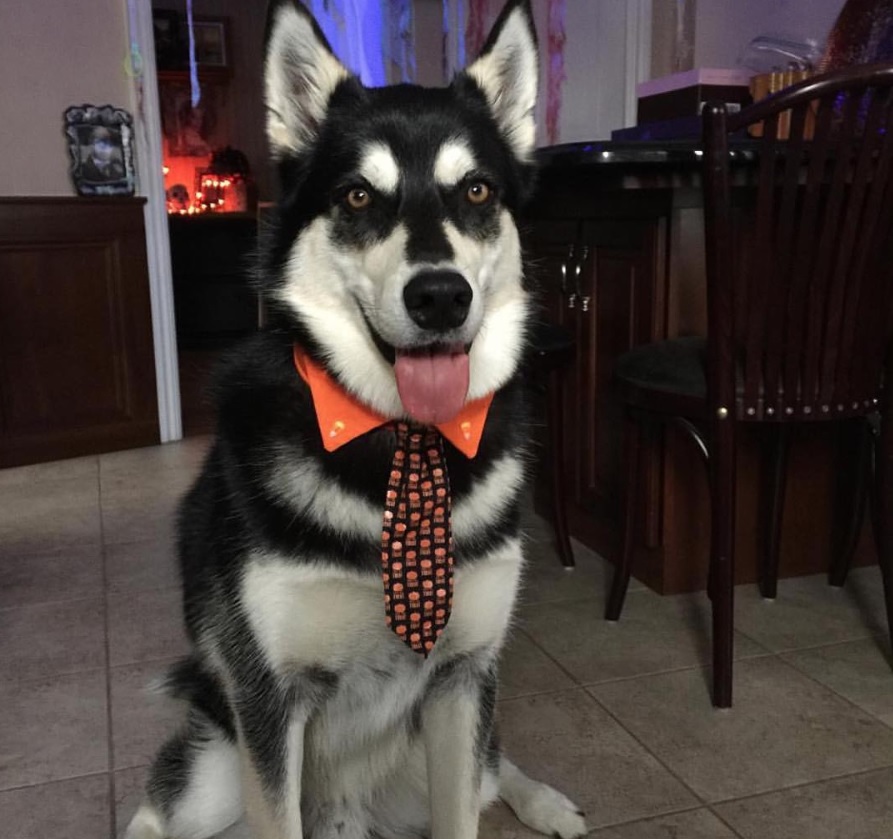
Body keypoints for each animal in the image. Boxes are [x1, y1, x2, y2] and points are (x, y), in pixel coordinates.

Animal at [125, 1, 584, 839]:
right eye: (358, 197)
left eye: (476, 191)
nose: (439, 296)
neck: (404, 438)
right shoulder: (267, 701)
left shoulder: (463, 676)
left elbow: (465, 805)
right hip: (215, 769)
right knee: (158, 803)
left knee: (494, 766)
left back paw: (544, 800)